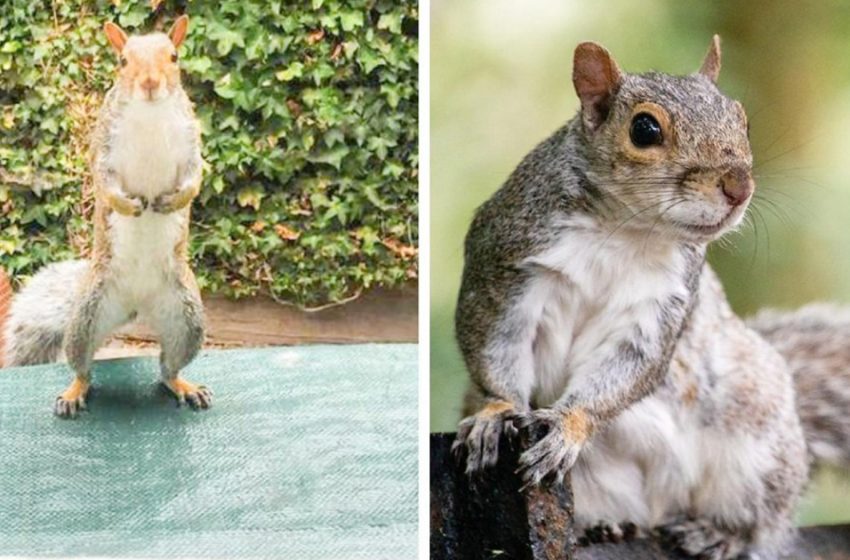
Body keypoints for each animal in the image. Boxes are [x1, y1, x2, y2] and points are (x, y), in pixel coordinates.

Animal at [4, 15, 210, 418]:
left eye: (174, 57)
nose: (150, 84)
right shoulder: (103, 147)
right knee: (82, 367)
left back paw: (183, 385)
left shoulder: (190, 141)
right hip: (87, 318)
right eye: (122, 61)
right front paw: (128, 206)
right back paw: (74, 391)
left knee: (168, 367)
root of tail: (137, 305)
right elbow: (103, 180)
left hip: (187, 319)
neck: (150, 114)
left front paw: (175, 200)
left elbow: (195, 177)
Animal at [450, 37, 816, 556]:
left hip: (759, 444)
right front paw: (497, 411)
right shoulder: (506, 264)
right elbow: (493, 345)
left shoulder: (662, 305)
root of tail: (661, 504)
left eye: (742, 120)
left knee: (761, 524)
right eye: (644, 129)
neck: (627, 231)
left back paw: (718, 533)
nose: (739, 186)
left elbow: (632, 367)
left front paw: (569, 425)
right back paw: (601, 527)